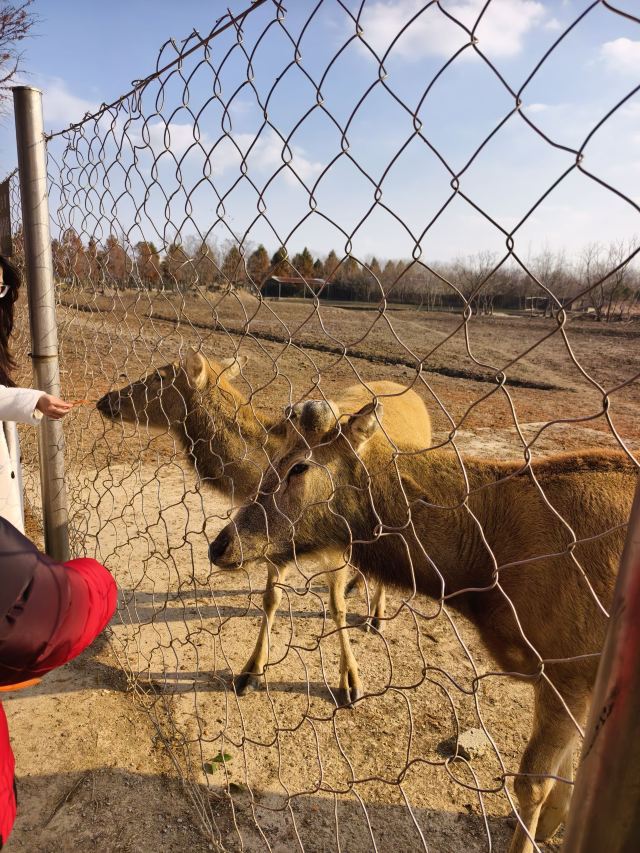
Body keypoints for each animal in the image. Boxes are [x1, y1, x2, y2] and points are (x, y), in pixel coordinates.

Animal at [97, 349, 432, 703]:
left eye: (158, 376)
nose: (106, 400)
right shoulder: (271, 546)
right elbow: (271, 599)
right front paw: (251, 671)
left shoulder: (338, 543)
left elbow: (336, 607)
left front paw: (350, 680)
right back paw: (358, 585)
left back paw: (377, 615)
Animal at [208, 396, 638, 853]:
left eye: (299, 467)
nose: (220, 545)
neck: (488, 573)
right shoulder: (573, 680)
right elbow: (563, 775)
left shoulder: (568, 666)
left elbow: (534, 783)